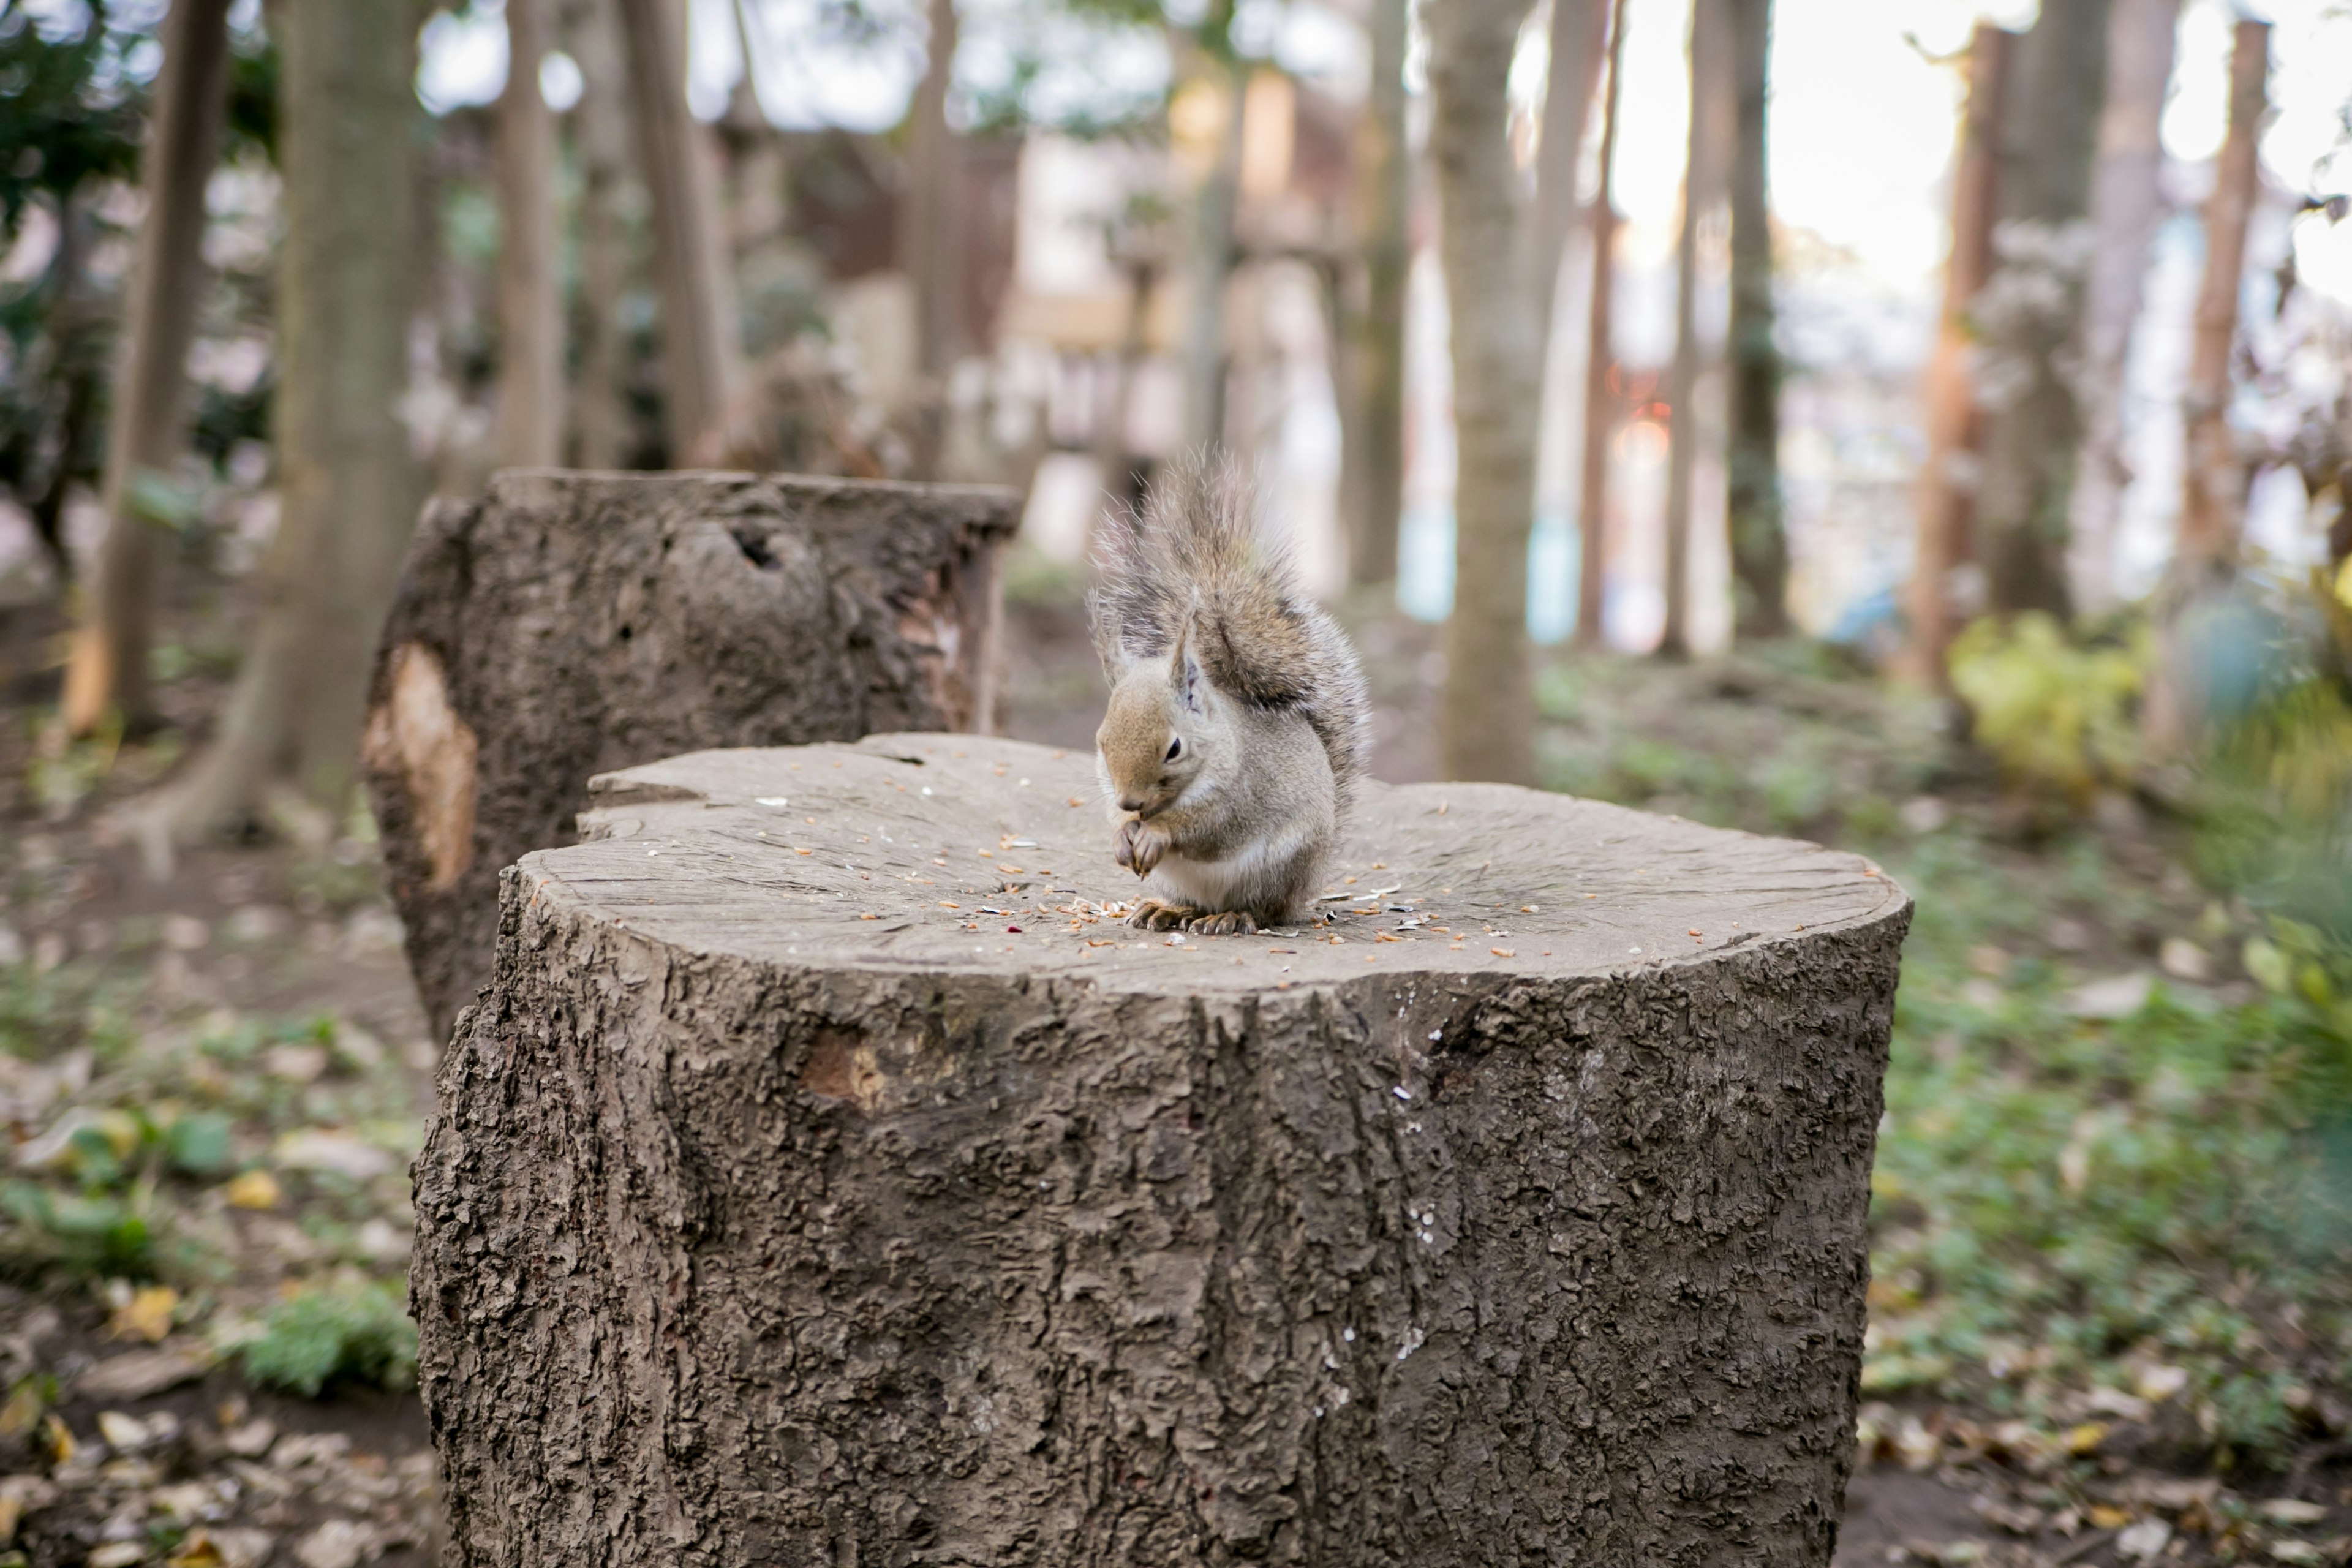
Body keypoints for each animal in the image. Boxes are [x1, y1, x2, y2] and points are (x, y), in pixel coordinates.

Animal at [1087, 463, 1373, 930]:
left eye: (1174, 748)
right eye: (1102, 743)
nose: (1130, 801)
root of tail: (1304, 889)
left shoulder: (1240, 794)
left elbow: (1207, 828)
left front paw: (1156, 833)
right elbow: (1119, 821)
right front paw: (1123, 836)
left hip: (1276, 868)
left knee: (1263, 909)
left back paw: (1232, 917)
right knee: (1195, 903)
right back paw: (1169, 909)